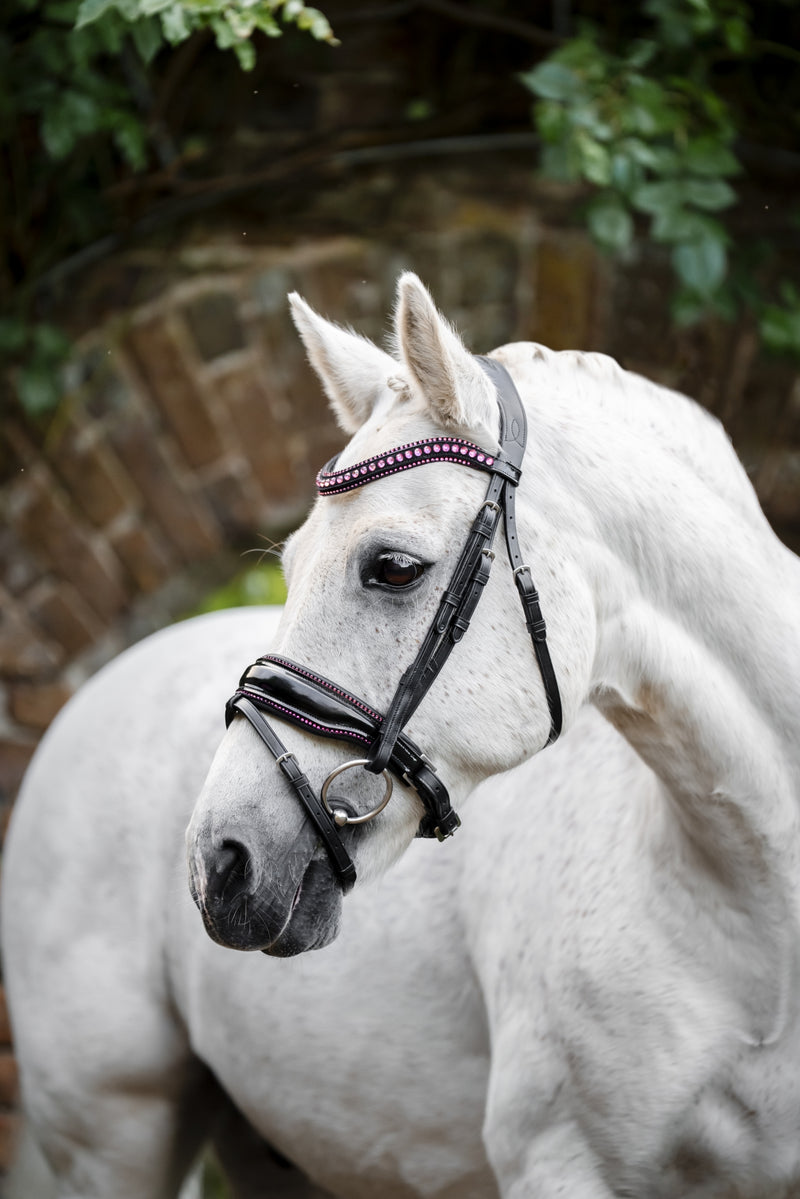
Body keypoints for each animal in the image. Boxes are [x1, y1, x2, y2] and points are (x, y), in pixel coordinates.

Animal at [3, 272, 800, 1198]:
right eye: (291, 564)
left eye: (393, 567)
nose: (220, 863)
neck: (759, 912)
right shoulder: (560, 1161)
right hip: (112, 1135)